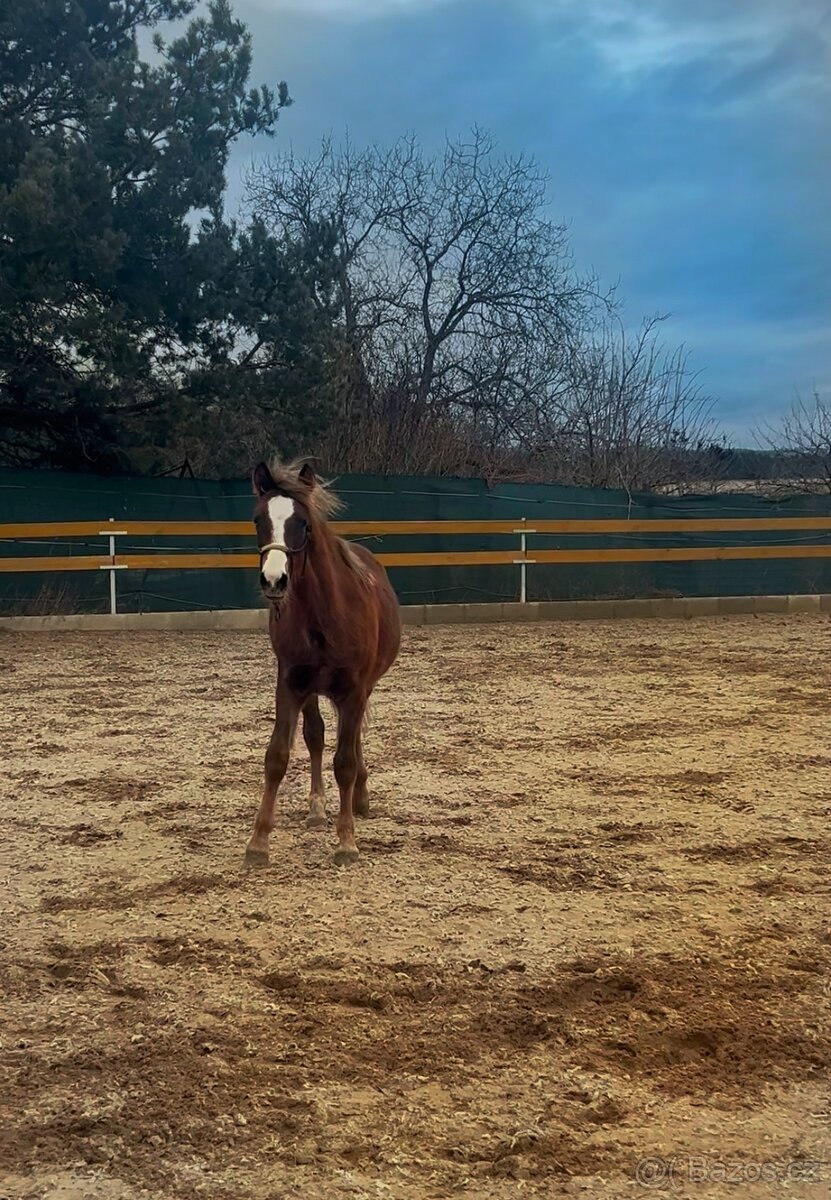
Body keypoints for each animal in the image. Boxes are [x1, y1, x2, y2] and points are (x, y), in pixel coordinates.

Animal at [245, 459, 401, 866]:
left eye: (303, 523)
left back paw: (360, 798)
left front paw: (346, 841)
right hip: (311, 688)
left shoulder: (354, 689)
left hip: (362, 688)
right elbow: (278, 756)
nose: (273, 581)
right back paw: (316, 808)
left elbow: (344, 762)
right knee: (315, 735)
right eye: (258, 519)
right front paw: (258, 841)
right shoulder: (290, 683)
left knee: (352, 741)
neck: (325, 615)